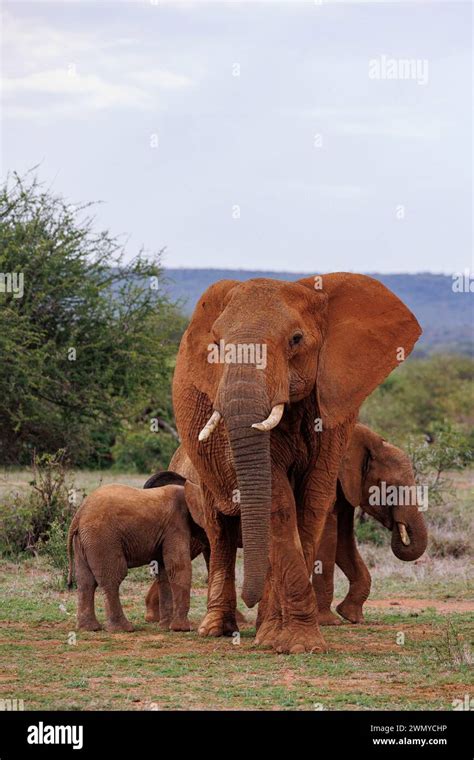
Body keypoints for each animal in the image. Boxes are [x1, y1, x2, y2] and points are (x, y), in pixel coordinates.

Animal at [67, 480, 200, 636]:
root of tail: (79, 514)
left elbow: (164, 571)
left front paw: (165, 627)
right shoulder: (176, 525)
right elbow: (178, 567)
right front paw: (182, 629)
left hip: (83, 541)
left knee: (85, 581)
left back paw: (89, 628)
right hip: (102, 538)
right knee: (113, 577)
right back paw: (123, 629)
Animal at [172, 274, 420, 652]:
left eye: (296, 340)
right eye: (218, 345)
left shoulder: (334, 408)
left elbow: (313, 504)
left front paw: (289, 640)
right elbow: (279, 504)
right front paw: (294, 641)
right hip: (198, 480)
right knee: (221, 535)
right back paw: (217, 629)